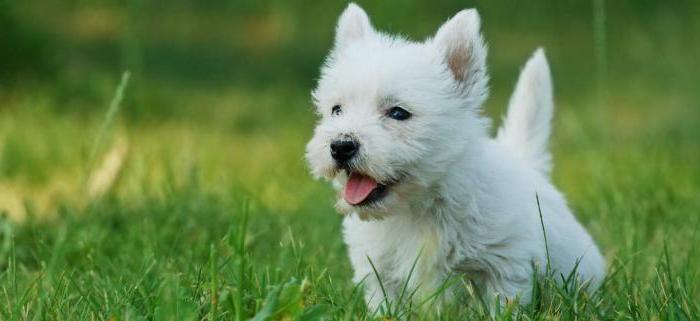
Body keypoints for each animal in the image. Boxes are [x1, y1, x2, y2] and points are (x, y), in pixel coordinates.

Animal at [306, 2, 608, 308]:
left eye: (399, 113)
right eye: (336, 109)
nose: (341, 145)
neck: (419, 208)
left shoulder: (505, 264)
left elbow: (501, 304)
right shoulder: (379, 272)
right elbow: (385, 305)